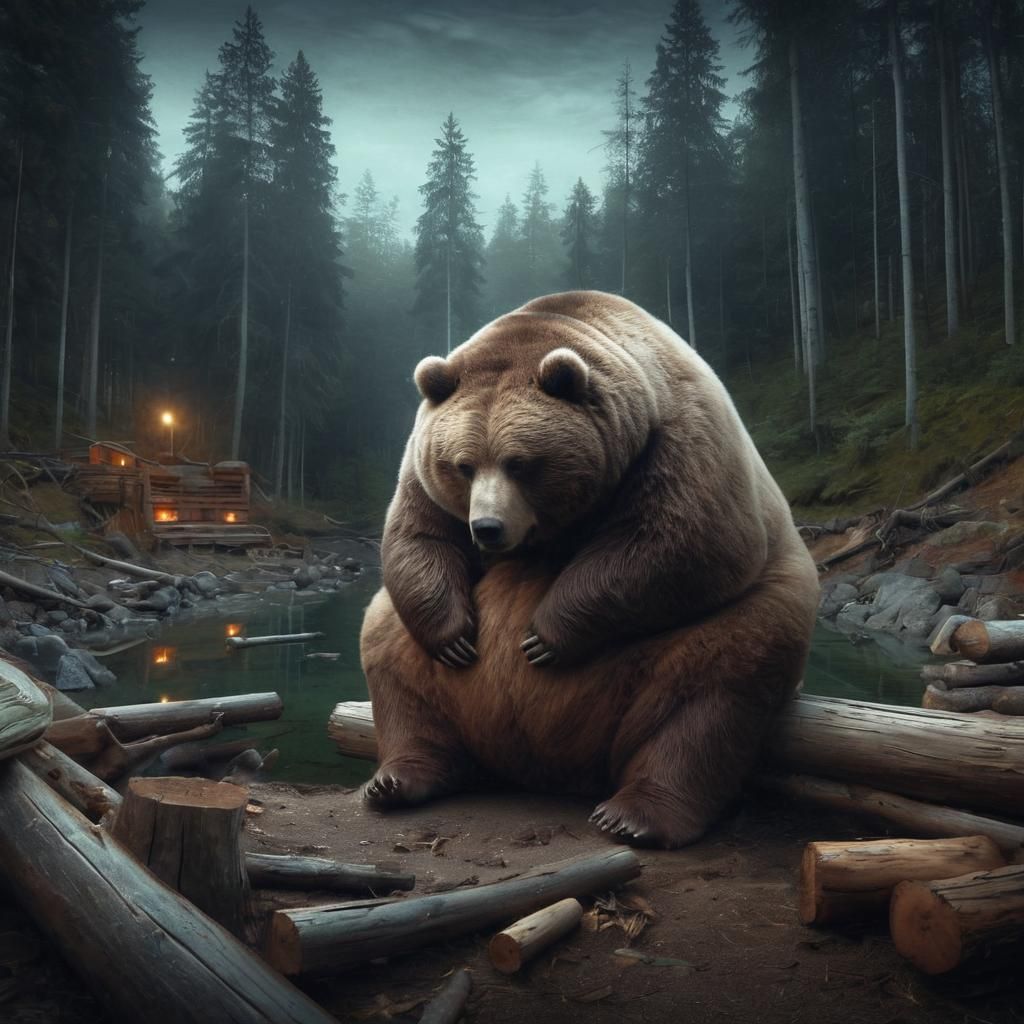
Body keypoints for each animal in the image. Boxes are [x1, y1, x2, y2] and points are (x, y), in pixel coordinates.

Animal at [359, 290, 819, 848]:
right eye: (463, 465)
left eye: (519, 462)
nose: (487, 528)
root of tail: (550, 765)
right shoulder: (421, 473)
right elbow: (418, 534)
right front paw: (457, 638)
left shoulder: (674, 435)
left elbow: (685, 541)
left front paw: (542, 637)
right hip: (420, 668)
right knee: (393, 660)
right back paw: (397, 778)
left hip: (747, 611)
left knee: (713, 692)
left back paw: (636, 813)